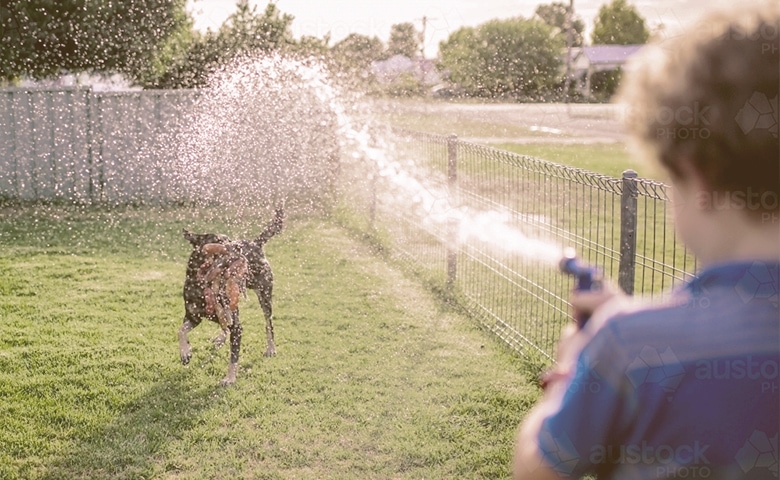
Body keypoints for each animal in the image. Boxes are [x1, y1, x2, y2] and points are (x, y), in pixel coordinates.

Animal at [178, 204, 284, 384]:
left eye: (229, 240)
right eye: (221, 241)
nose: (238, 247)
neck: (204, 287)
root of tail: (255, 243)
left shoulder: (237, 327)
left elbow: (233, 356)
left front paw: (230, 378)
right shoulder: (193, 316)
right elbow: (181, 330)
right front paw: (185, 353)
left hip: (264, 295)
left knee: (268, 324)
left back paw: (271, 348)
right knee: (224, 325)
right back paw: (220, 338)